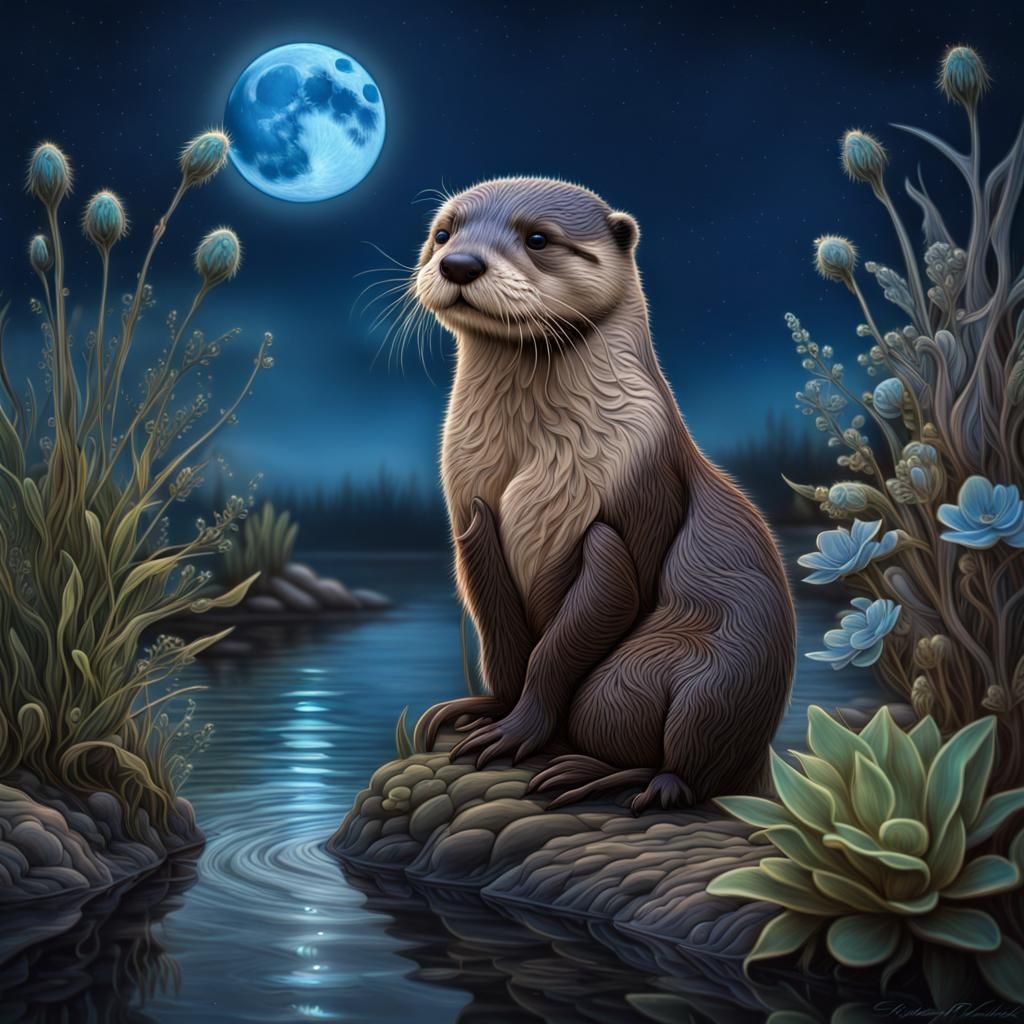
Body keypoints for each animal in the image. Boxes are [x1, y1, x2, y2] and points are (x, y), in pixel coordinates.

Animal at [410, 177, 796, 813]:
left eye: (538, 238)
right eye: (443, 232)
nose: (459, 263)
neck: (527, 455)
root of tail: (759, 763)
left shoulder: (631, 500)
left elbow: (573, 633)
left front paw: (515, 731)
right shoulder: (471, 515)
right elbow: (500, 631)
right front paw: (487, 710)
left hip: (703, 677)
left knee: (686, 768)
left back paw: (596, 776)